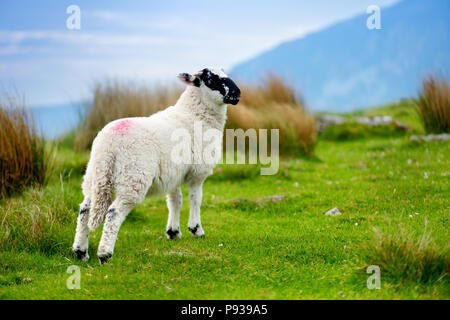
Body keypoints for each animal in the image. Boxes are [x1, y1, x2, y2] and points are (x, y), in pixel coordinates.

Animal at [72, 67, 241, 262]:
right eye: (211, 80)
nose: (238, 94)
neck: (195, 114)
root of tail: (108, 145)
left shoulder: (173, 173)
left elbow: (175, 201)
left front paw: (173, 232)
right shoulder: (197, 172)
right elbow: (195, 199)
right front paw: (196, 230)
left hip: (95, 176)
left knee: (85, 209)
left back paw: (81, 251)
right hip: (133, 177)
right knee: (113, 213)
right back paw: (104, 254)